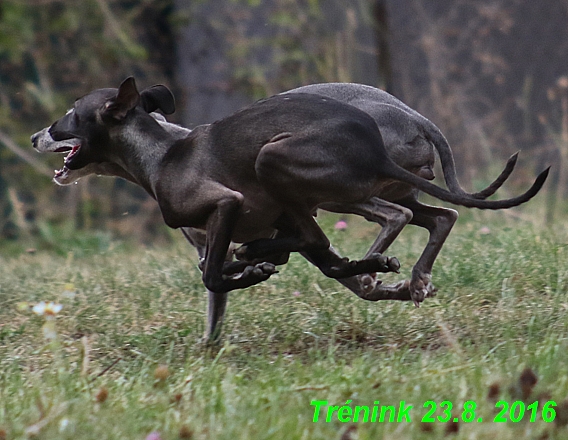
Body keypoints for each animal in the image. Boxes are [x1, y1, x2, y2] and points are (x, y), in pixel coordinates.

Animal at [32, 78, 544, 340]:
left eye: (69, 114)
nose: (37, 136)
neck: (163, 150)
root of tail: (414, 117)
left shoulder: (233, 208)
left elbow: (220, 273)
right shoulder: (253, 229)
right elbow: (221, 294)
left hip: (292, 171)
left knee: (389, 221)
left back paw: (375, 265)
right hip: (386, 191)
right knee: (441, 216)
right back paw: (411, 278)